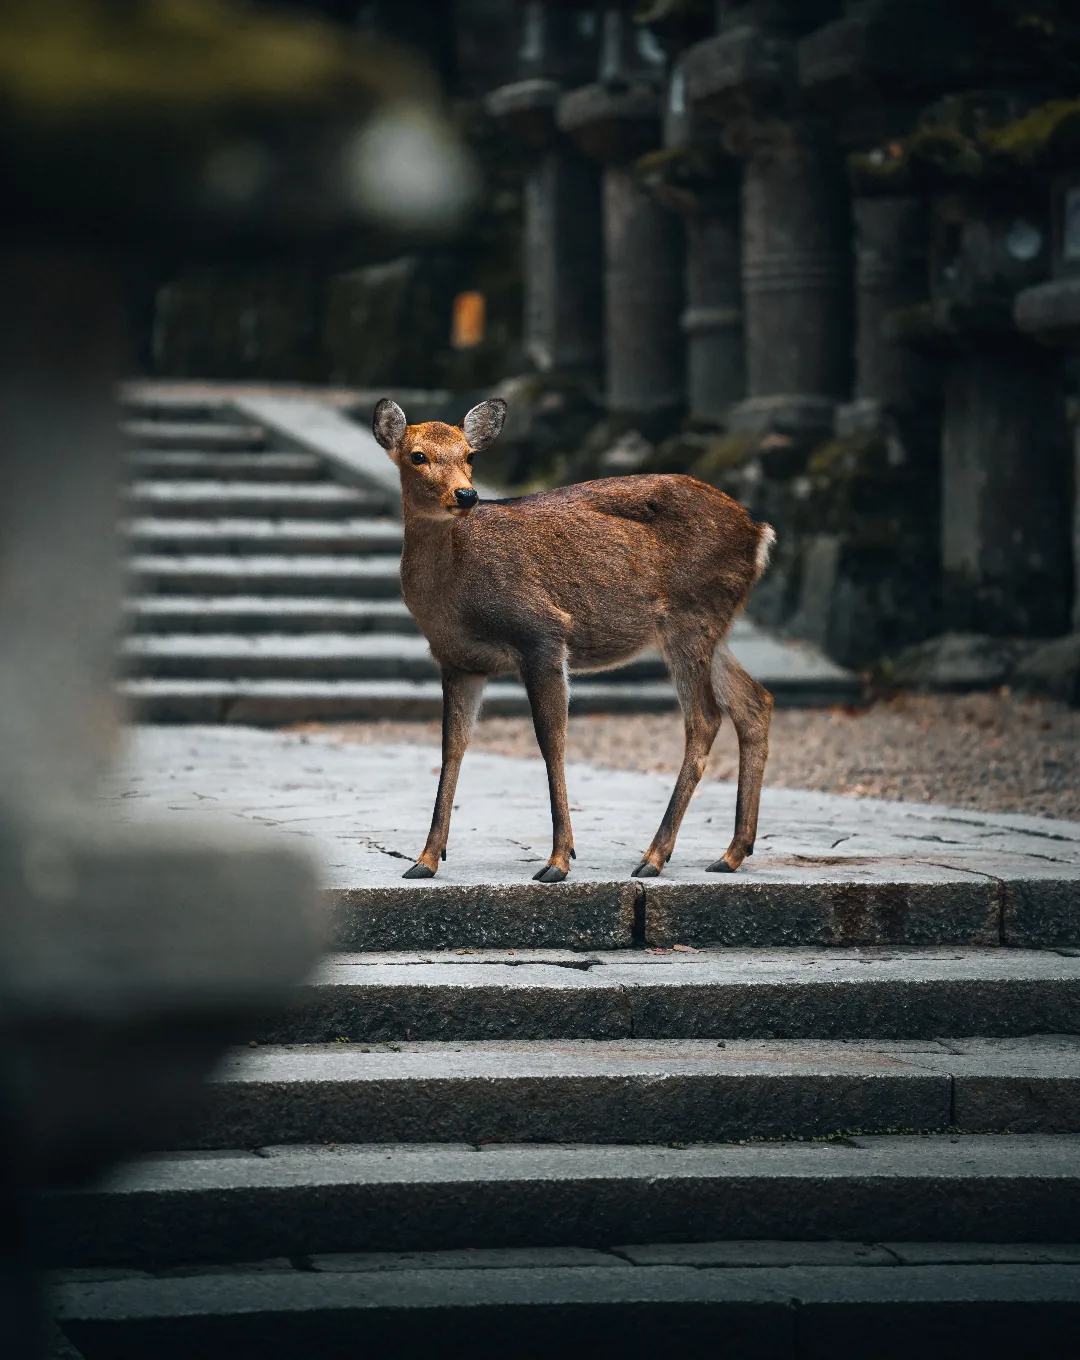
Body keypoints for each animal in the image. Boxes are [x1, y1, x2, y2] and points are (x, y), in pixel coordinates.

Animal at [372, 396, 775, 884]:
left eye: (470, 456)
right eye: (417, 456)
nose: (466, 495)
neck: (454, 595)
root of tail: (761, 534)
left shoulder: (541, 632)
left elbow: (552, 739)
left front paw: (558, 860)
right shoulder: (457, 660)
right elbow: (453, 747)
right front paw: (425, 859)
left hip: (691, 616)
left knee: (705, 719)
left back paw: (655, 856)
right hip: (712, 627)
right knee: (754, 701)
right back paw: (731, 852)